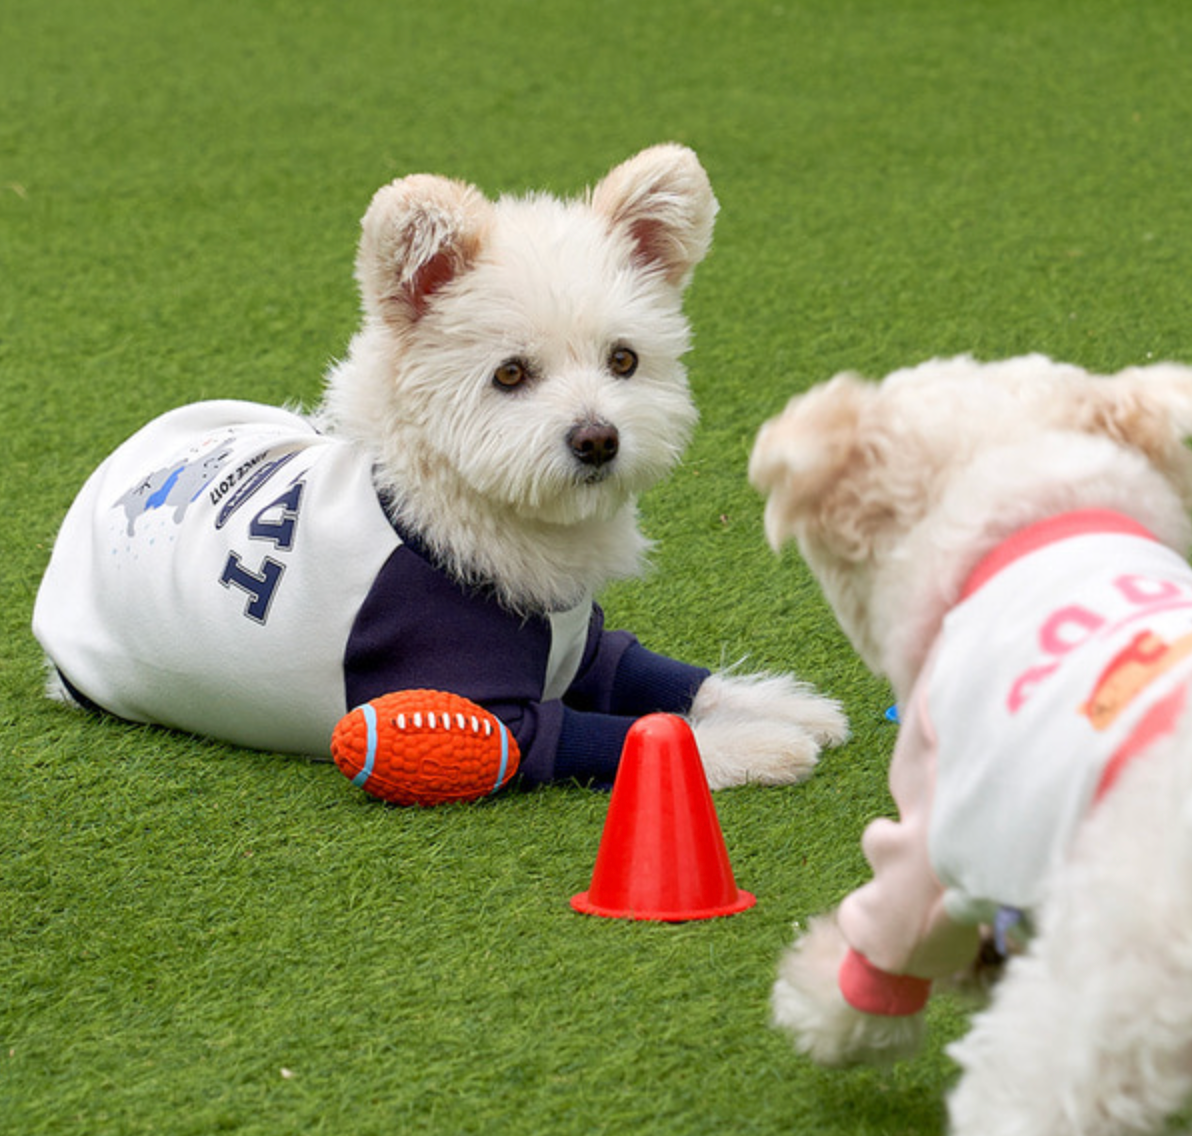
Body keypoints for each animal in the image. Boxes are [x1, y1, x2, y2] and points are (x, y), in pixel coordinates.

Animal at [30, 144, 848, 786]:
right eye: (510, 374)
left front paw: (782, 704)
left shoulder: (586, 648)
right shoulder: (498, 726)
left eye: (624, 360)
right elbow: (641, 740)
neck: (440, 506)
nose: (597, 440)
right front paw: (760, 743)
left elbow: (665, 680)